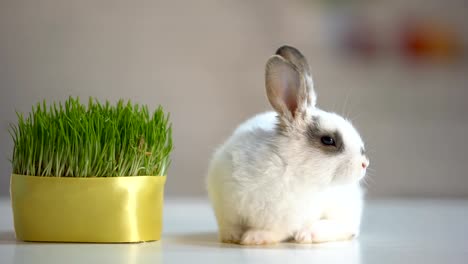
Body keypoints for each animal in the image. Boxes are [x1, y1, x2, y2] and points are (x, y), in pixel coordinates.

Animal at [207, 46, 368, 245]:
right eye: (328, 140)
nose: (365, 163)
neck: (286, 164)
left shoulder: (285, 220)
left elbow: (276, 231)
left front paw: (254, 237)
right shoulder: (226, 208)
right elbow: (229, 226)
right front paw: (232, 237)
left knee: (346, 229)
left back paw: (306, 235)